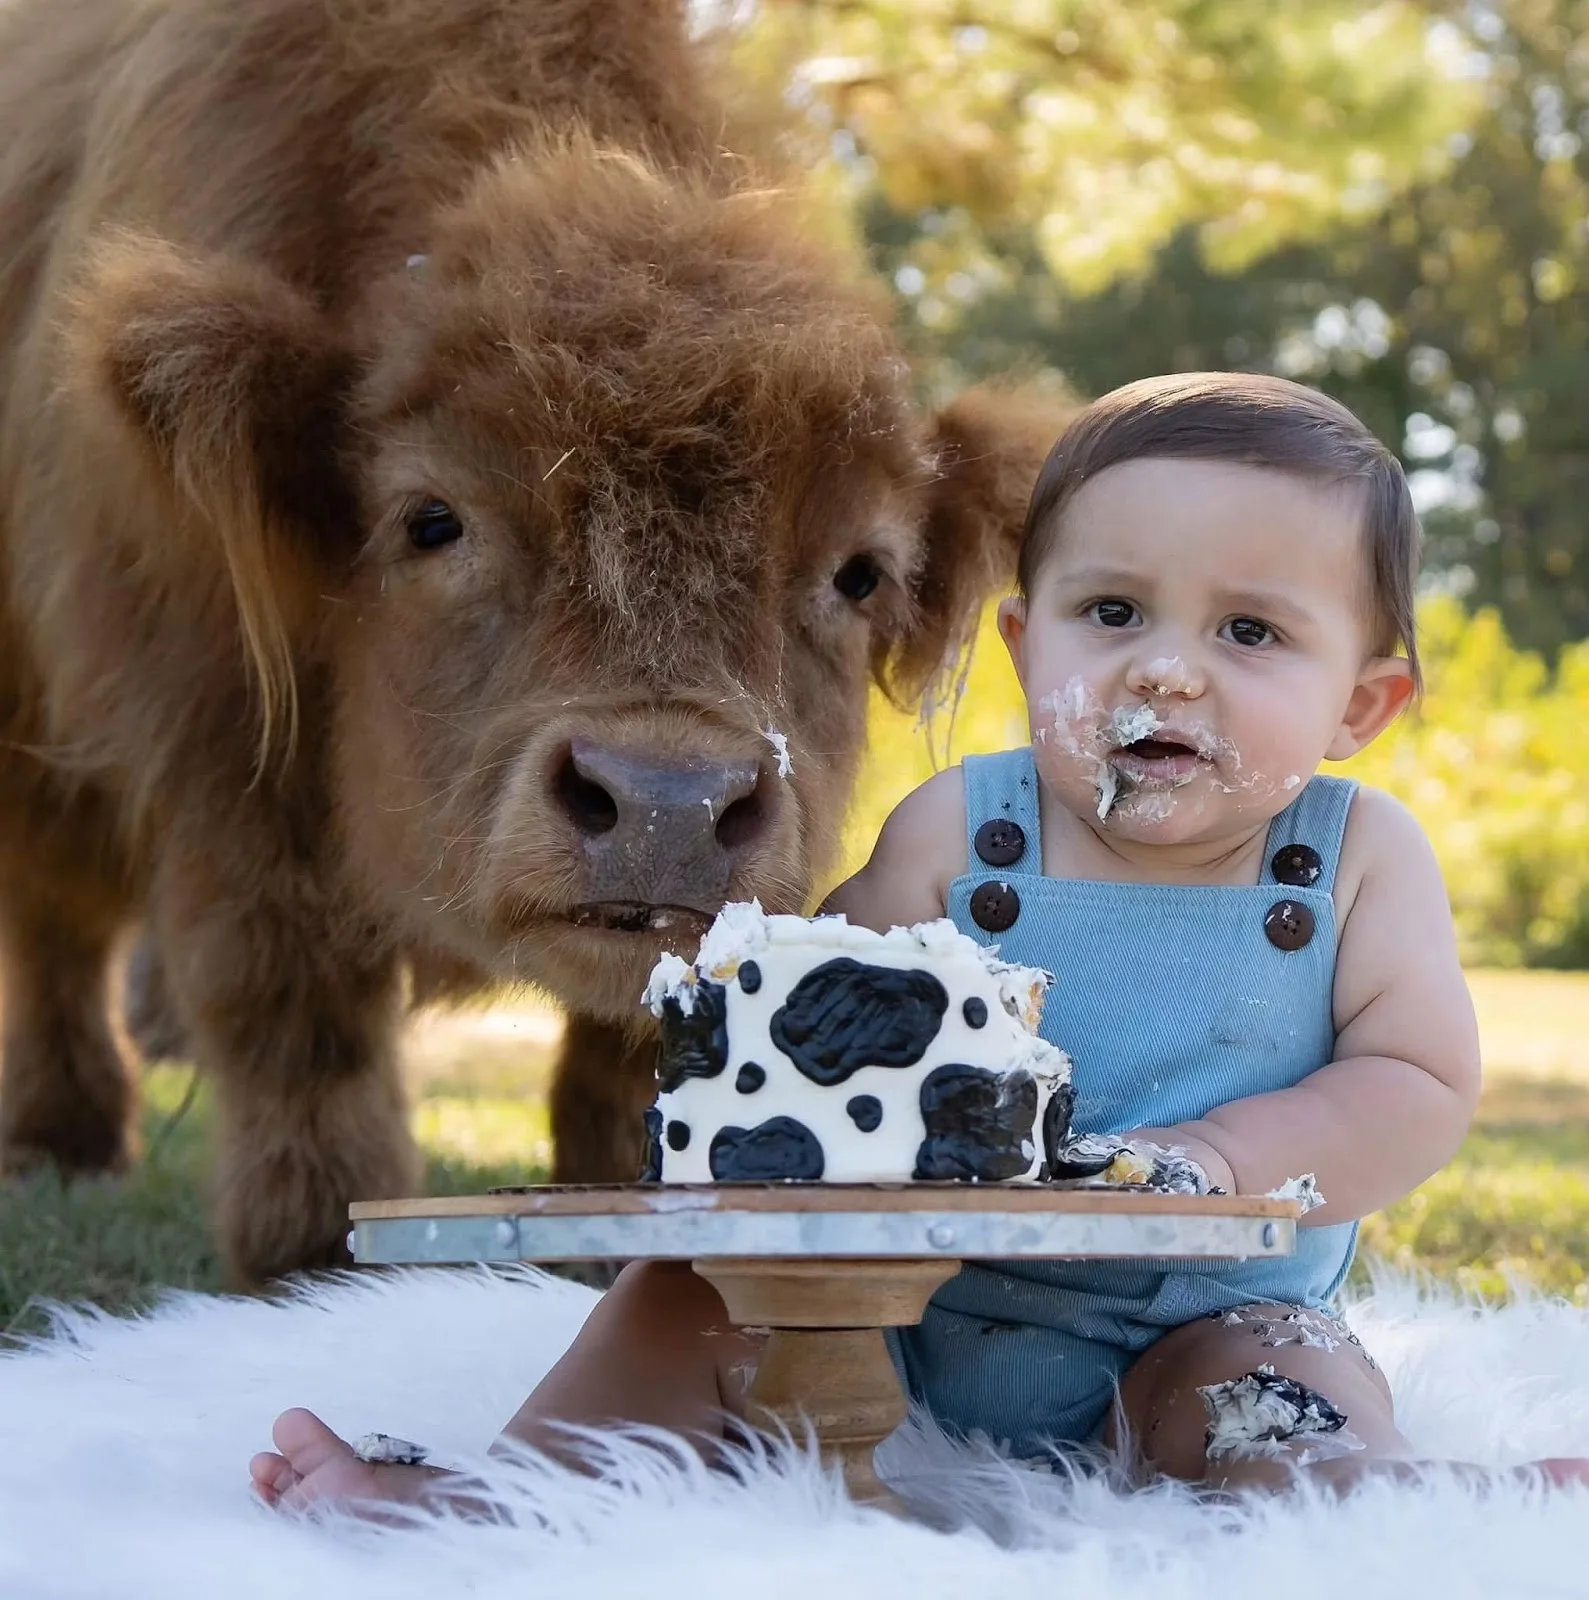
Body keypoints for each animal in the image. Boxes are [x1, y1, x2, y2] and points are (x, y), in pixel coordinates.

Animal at [0, 0, 1060, 1286]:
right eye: (430, 519)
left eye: (861, 571)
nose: (665, 804)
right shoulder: (217, 745)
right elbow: (292, 1006)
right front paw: (311, 1255)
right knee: (58, 915)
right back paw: (62, 1143)